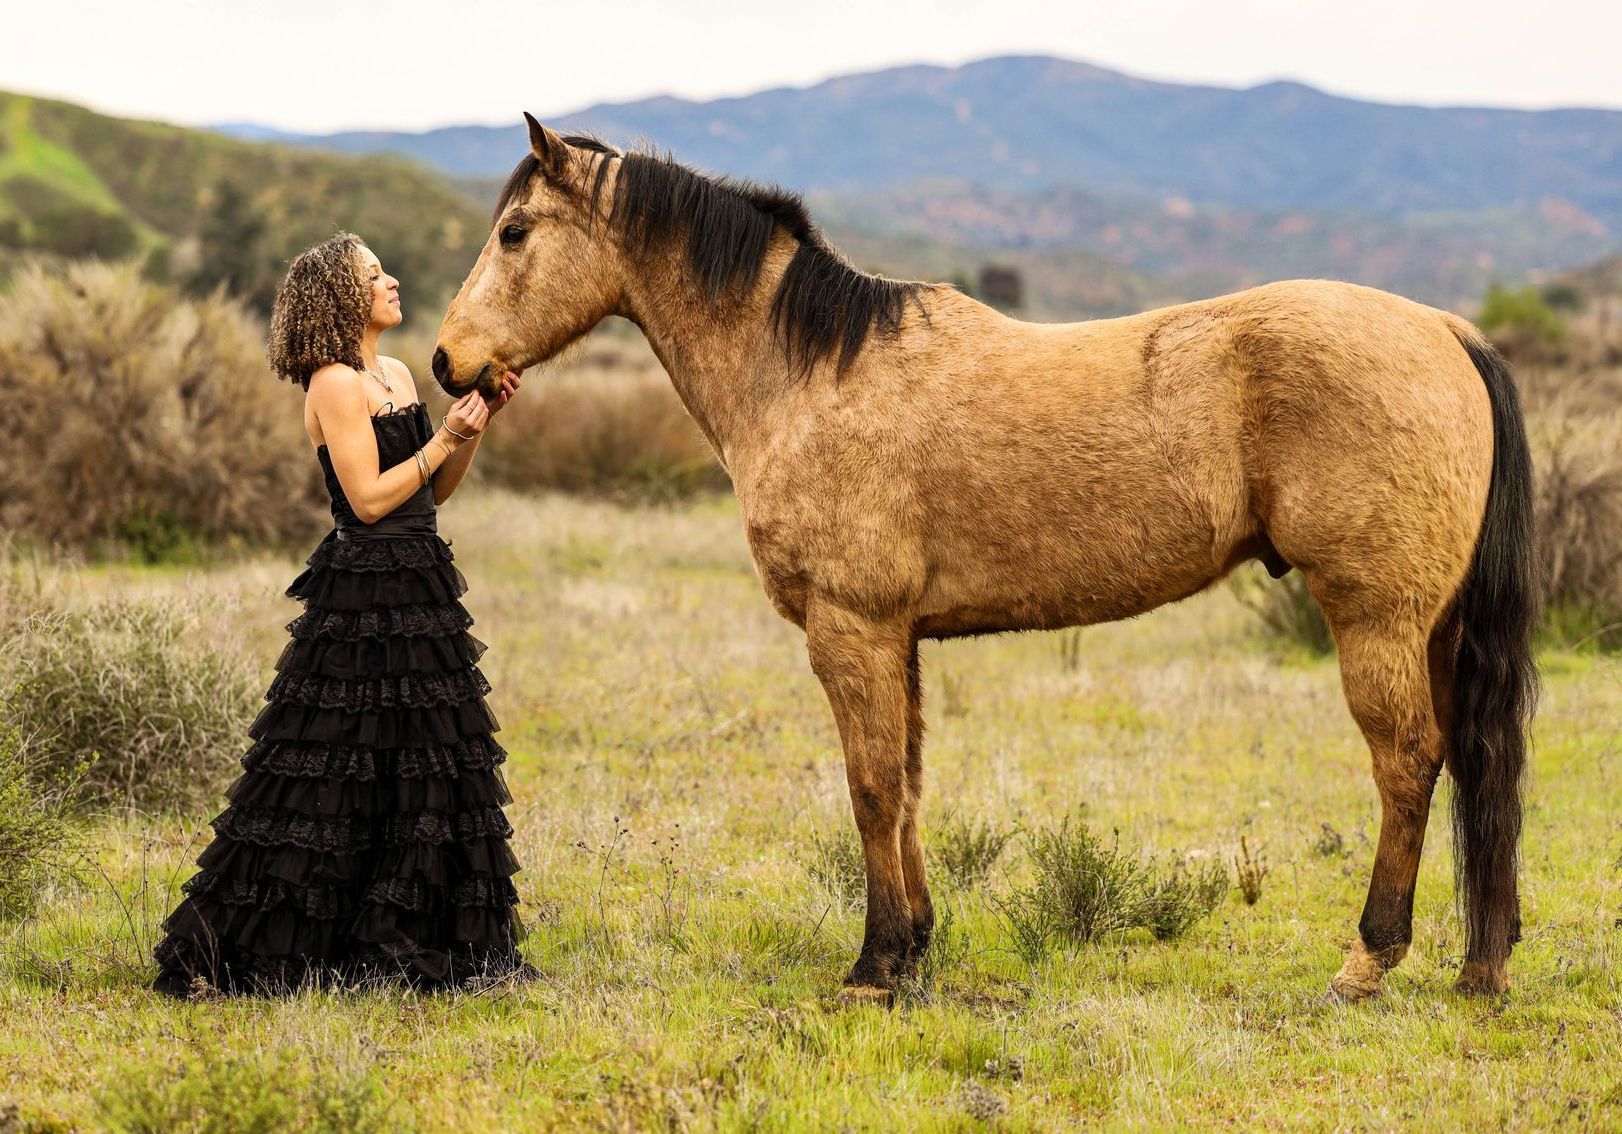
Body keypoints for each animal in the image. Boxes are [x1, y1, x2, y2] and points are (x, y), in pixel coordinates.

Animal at [433, 114, 1537, 1003]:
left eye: (515, 232)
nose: (447, 362)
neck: (810, 371)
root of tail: (1446, 330)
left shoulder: (850, 629)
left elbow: (871, 785)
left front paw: (874, 967)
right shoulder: (899, 637)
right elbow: (910, 785)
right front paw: (915, 946)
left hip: (1375, 618)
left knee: (1407, 761)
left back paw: (1366, 961)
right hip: (1433, 627)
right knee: (1473, 761)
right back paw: (1478, 965)